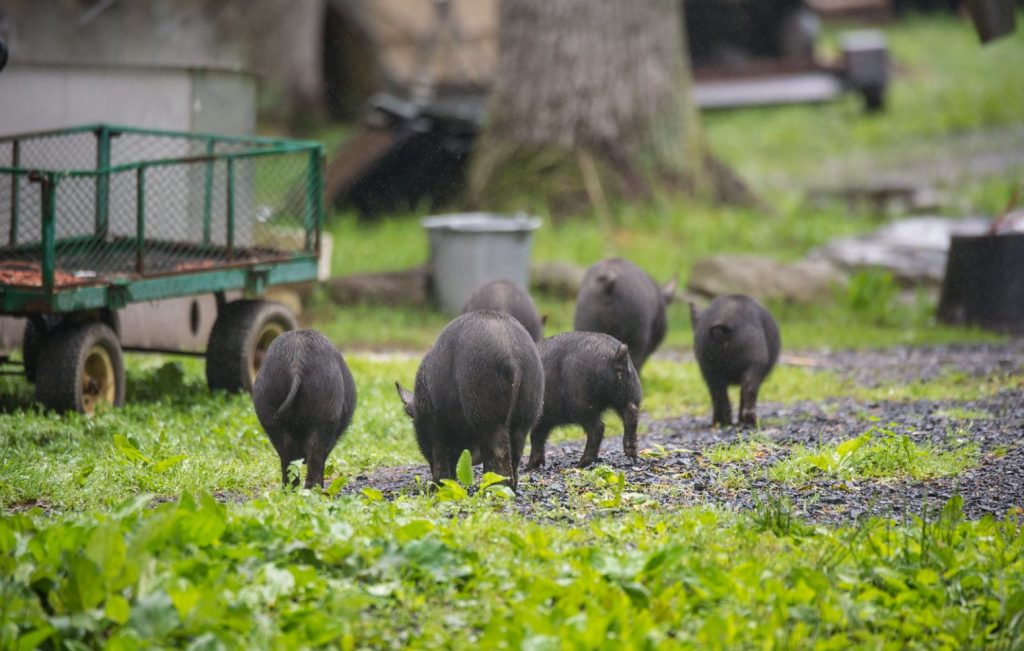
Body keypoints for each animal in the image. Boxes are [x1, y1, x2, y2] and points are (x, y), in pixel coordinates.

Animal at [251, 329, 356, 487]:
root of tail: (296, 363)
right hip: (325, 413)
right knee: (315, 454)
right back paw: (314, 489)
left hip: (268, 410)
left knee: (286, 455)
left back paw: (290, 489)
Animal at [397, 311, 544, 487]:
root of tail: (512, 355)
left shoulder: (436, 425)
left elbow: (441, 456)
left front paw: (439, 485)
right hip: (526, 412)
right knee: (515, 452)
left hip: (488, 411)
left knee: (498, 455)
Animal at [528, 335, 638, 468]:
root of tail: (617, 355)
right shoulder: (544, 419)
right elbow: (537, 435)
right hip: (628, 392)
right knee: (631, 411)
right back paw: (631, 452)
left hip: (582, 404)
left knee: (597, 428)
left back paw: (581, 463)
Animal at [692, 294, 778, 427]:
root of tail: (722, 325)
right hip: (754, 360)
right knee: (749, 389)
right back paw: (750, 421)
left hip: (708, 368)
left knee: (717, 393)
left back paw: (721, 423)